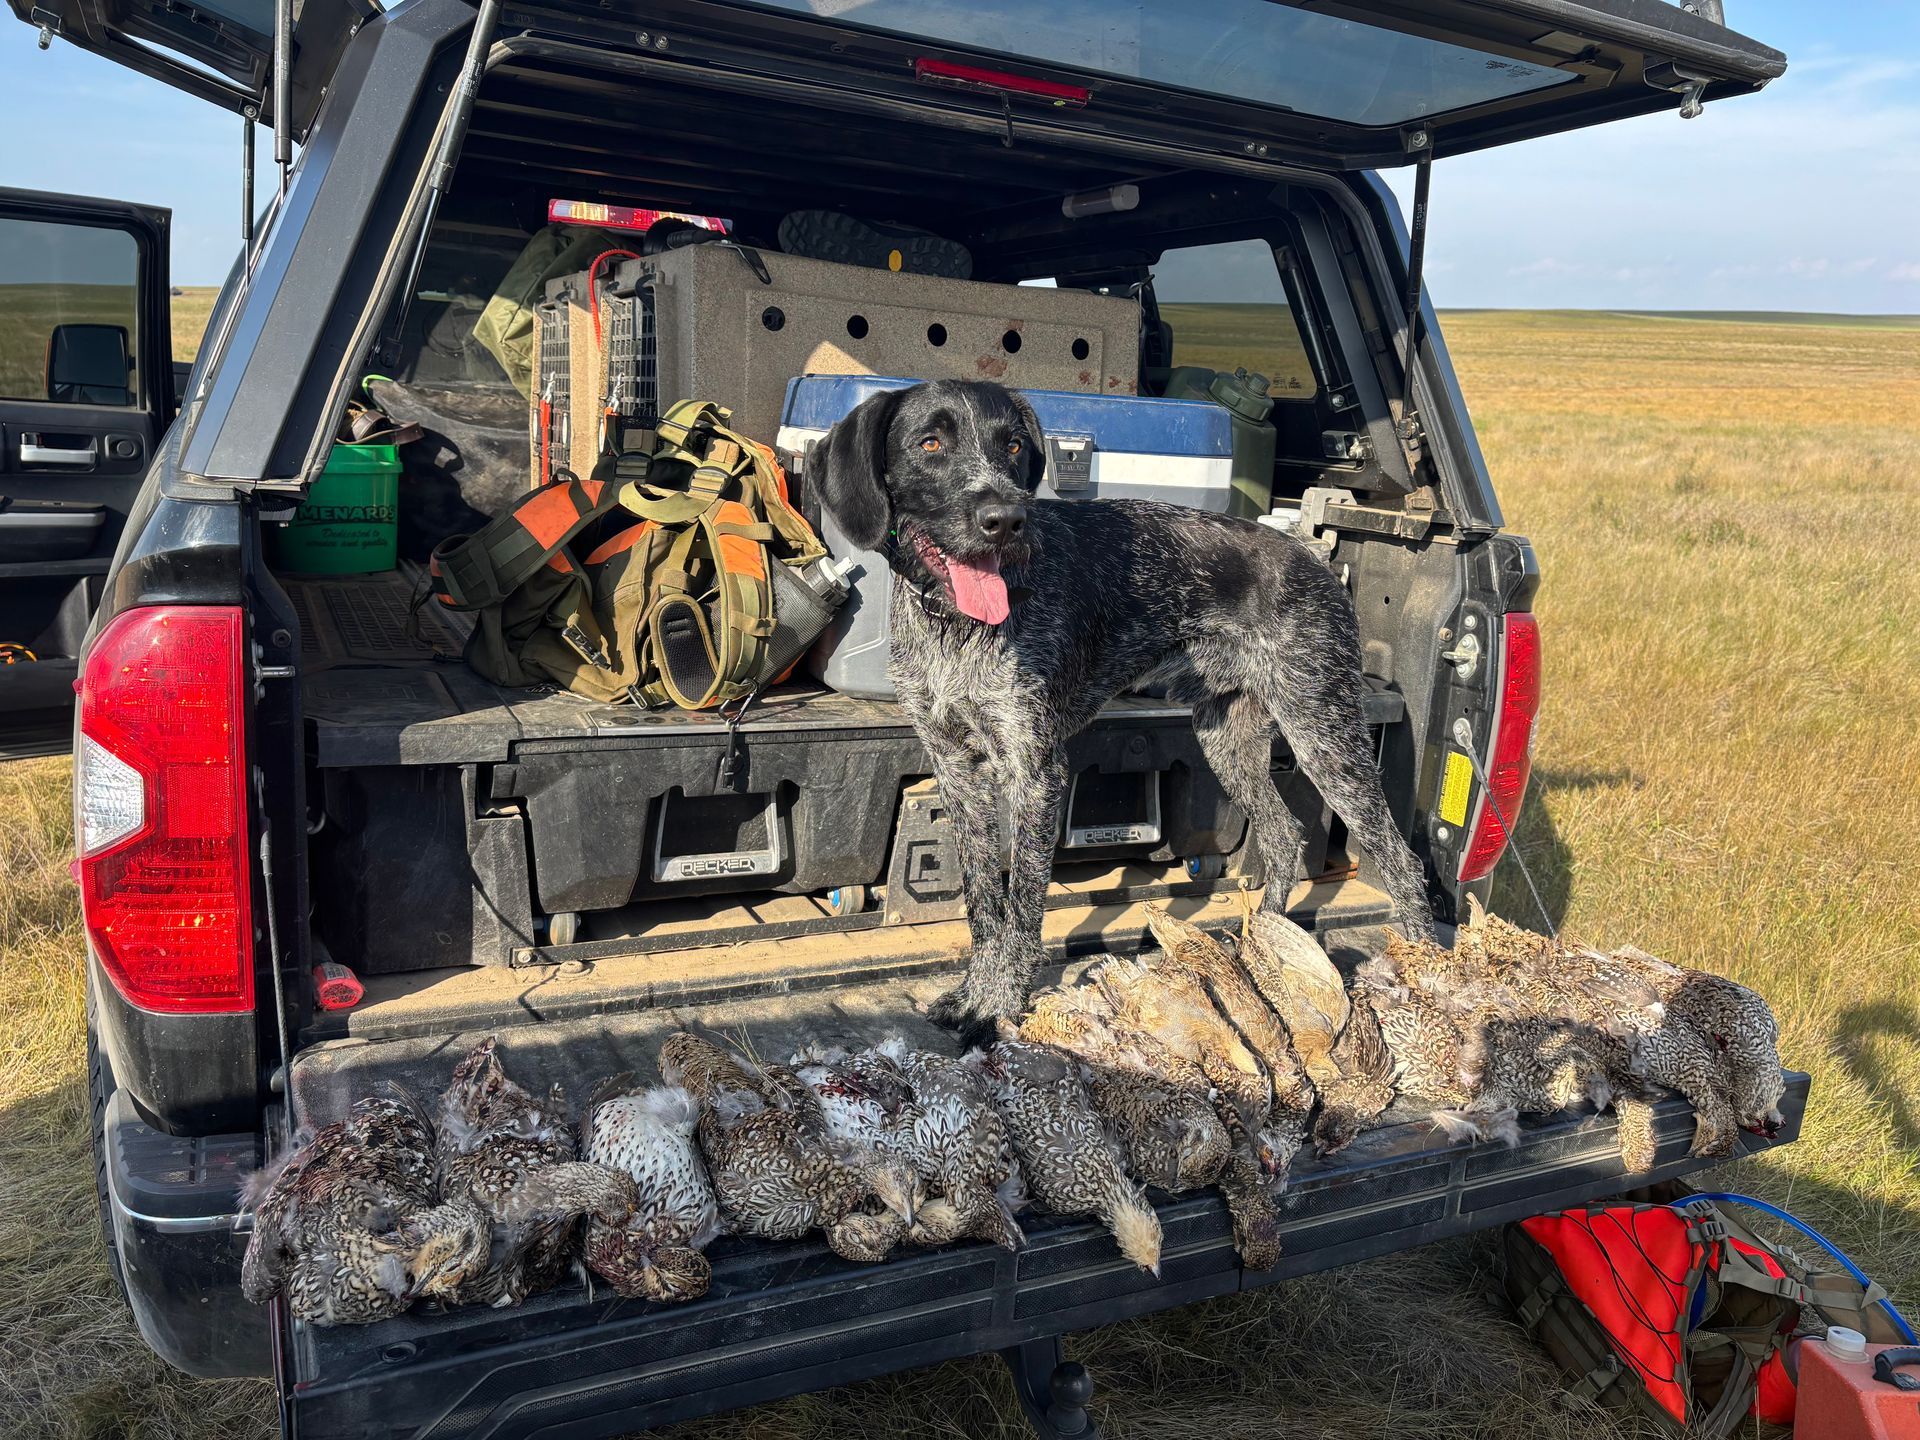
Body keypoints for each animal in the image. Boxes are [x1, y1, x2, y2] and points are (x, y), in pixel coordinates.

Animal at [813, 379, 1436, 1045]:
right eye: (930, 443)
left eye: (1013, 446)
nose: (1006, 520)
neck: (955, 625)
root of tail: (1314, 561)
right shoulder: (959, 771)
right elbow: (984, 903)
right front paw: (972, 994)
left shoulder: (1035, 772)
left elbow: (1022, 908)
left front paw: (999, 1005)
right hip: (1228, 740)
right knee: (1285, 836)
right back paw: (1264, 950)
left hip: (1323, 731)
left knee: (1402, 861)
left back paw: (1426, 978)